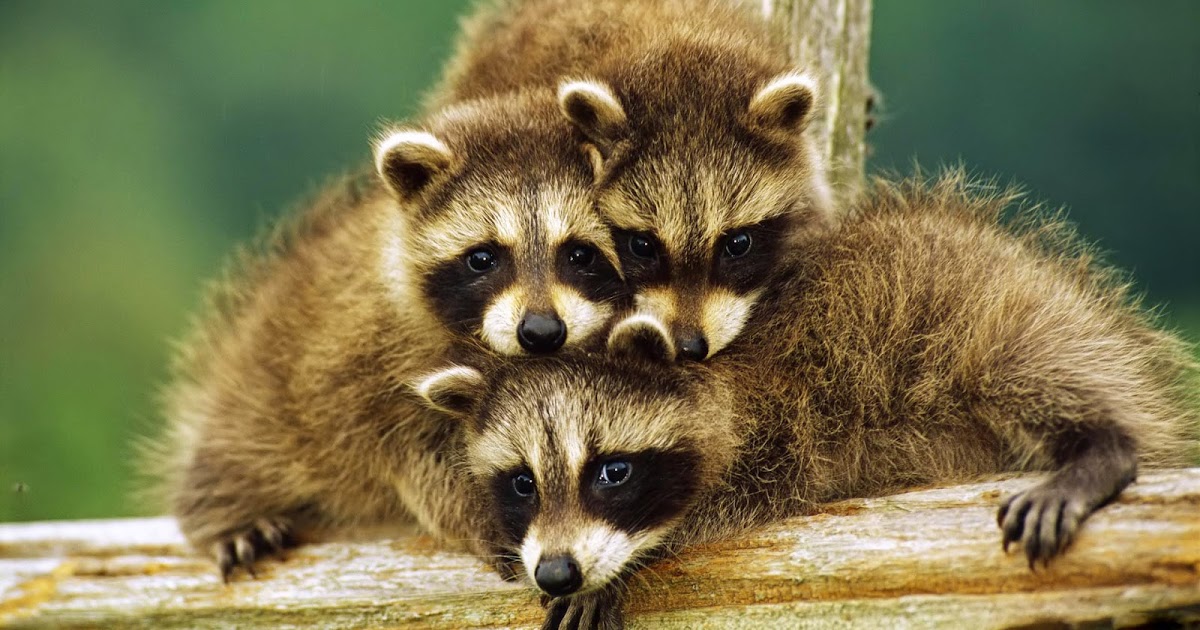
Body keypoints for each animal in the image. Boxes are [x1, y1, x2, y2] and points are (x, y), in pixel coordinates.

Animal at [147, 89, 628, 580]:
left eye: (580, 253)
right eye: (483, 257)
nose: (541, 331)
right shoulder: (365, 363)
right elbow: (415, 457)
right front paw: (490, 513)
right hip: (261, 394)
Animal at [415, 172, 1200, 628]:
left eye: (611, 471)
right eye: (522, 483)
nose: (556, 571)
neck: (713, 374)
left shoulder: (783, 422)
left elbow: (727, 499)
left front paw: (625, 565)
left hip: (1001, 312)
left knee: (1033, 369)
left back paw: (1102, 446)